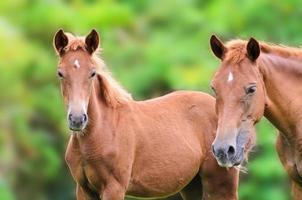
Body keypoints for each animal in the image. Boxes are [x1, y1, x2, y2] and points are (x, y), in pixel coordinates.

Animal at [53, 29, 239, 200]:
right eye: (60, 73)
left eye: (92, 73)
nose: (77, 119)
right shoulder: (84, 189)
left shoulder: (114, 188)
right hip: (192, 186)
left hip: (221, 184)